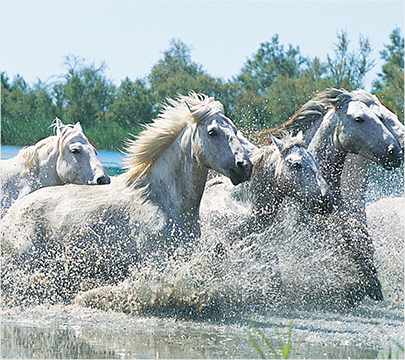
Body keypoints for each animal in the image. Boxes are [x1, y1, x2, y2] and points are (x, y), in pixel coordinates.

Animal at [0, 93, 252, 306]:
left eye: (234, 129)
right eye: (212, 132)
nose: (244, 166)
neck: (161, 200)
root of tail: (12, 213)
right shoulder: (154, 260)